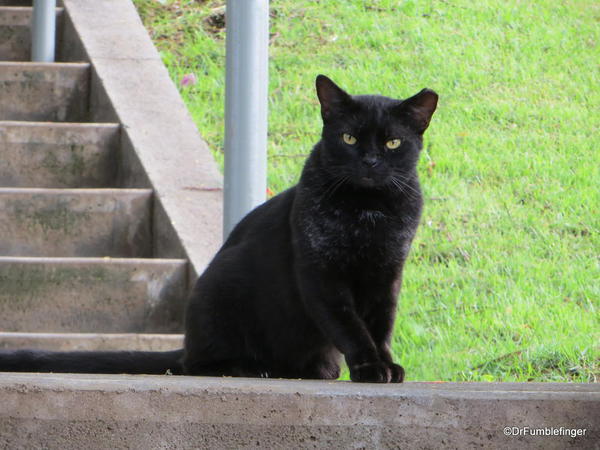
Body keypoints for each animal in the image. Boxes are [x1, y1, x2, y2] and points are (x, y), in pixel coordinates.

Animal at [0, 74, 436, 384]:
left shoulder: (387, 272)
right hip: (223, 285)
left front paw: (387, 364)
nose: (370, 162)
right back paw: (248, 367)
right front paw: (369, 368)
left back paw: (315, 370)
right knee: (199, 364)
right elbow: (350, 325)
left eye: (393, 143)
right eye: (348, 138)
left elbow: (380, 325)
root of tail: (186, 345)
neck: (369, 209)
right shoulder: (321, 272)